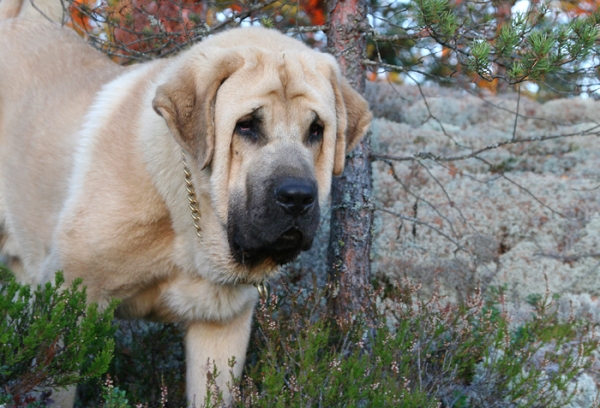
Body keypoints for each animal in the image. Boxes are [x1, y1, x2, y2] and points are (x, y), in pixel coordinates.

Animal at [0, 1, 372, 406]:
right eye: (246, 125)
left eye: (316, 130)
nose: (297, 197)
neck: (189, 220)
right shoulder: (71, 303)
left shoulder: (221, 329)